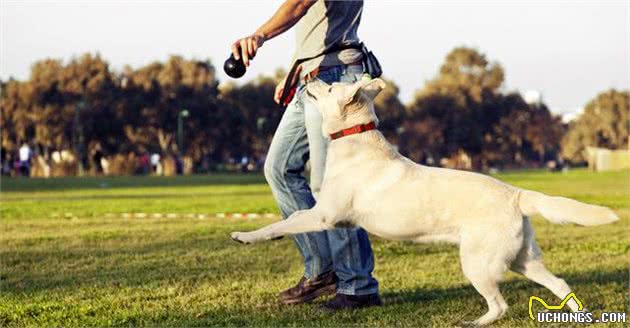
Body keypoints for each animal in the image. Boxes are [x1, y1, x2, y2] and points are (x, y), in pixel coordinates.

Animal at [230, 77, 620, 326]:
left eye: (328, 87)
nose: (308, 78)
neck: (355, 140)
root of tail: (516, 194)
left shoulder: (324, 215)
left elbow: (284, 221)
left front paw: (245, 236)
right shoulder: (330, 218)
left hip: (477, 263)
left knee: (500, 305)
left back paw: (474, 322)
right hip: (523, 260)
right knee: (560, 284)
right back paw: (579, 316)